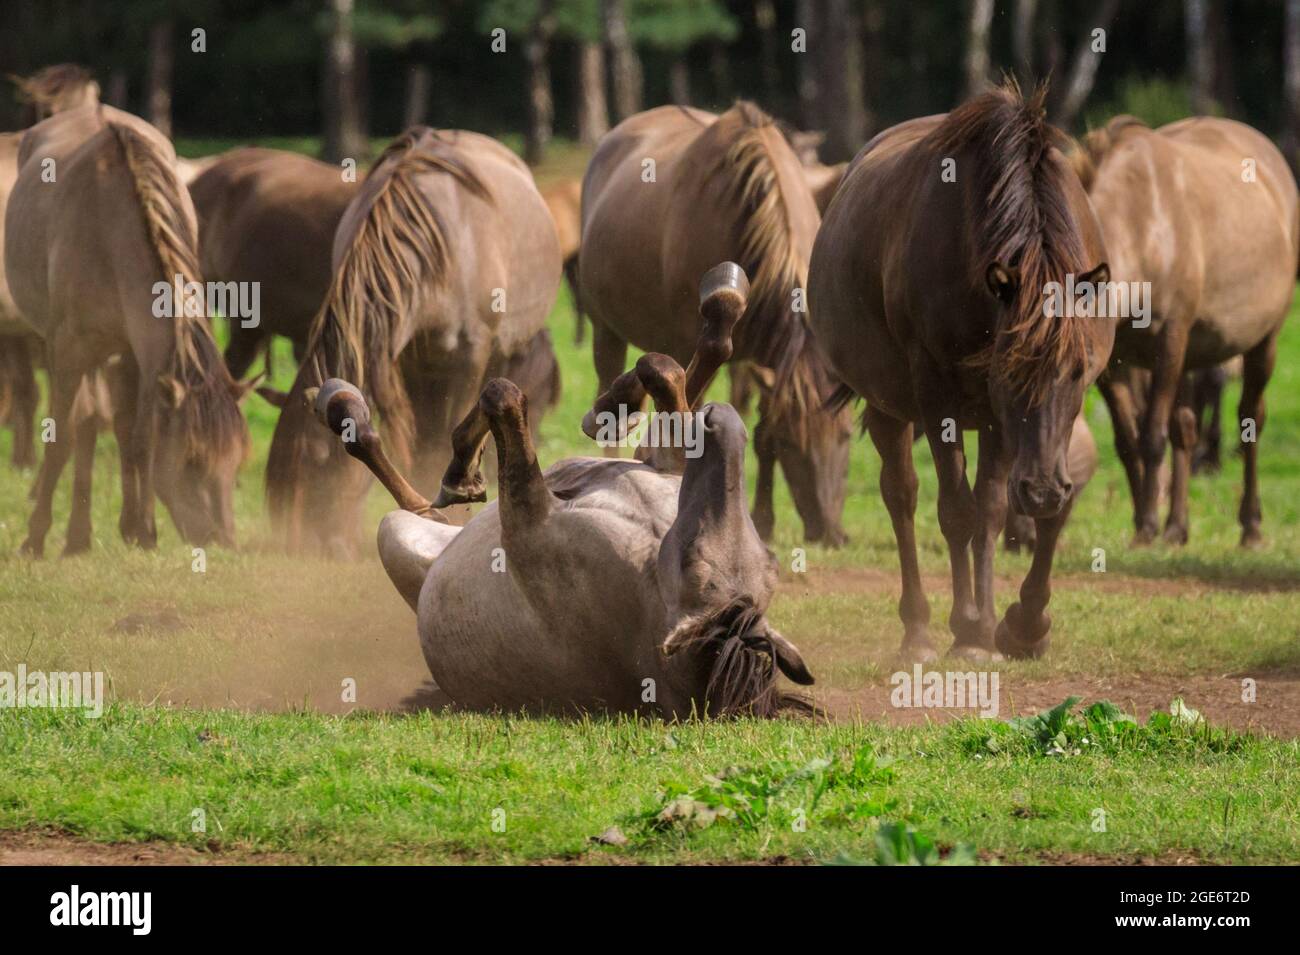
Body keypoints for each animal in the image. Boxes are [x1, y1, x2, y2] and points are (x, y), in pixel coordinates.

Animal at [5, 102, 249, 553]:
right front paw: (36, 536)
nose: (223, 542)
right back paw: (76, 535)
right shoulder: (68, 351)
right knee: (84, 424)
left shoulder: (145, 356)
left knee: (111, 424)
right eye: (191, 462)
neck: (110, 233)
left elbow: (140, 438)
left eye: (237, 462)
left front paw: (143, 530)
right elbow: (62, 438)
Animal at [806, 82, 1112, 660]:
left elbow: (999, 511)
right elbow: (955, 511)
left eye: (1079, 371)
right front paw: (971, 628)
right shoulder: (939, 395)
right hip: (889, 405)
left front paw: (1020, 623)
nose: (1041, 488)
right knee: (903, 496)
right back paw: (921, 628)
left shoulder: (1008, 420)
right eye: (1008, 371)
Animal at [1071, 113, 1294, 545]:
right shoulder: (1115, 363)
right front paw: (1145, 518)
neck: (1143, 229)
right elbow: (1128, 441)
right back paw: (1177, 525)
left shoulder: (1170, 341)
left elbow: (1152, 436)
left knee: (1250, 419)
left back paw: (1250, 526)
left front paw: (1146, 527)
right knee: (1186, 428)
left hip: (1264, 341)